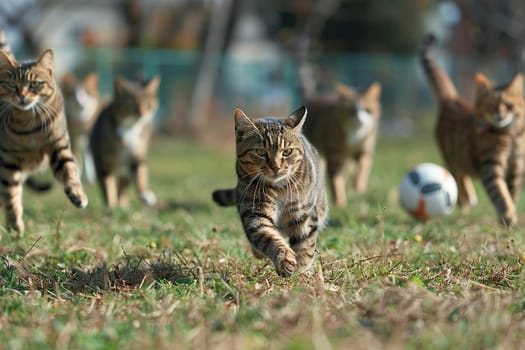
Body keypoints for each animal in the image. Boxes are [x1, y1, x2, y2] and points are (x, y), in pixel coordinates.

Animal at [0, 48, 87, 232]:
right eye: (12, 85)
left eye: (34, 84)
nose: (22, 96)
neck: (28, 124)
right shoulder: (8, 160)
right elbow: (11, 194)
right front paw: (15, 226)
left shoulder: (59, 146)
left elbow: (70, 170)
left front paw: (78, 195)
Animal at [89, 76, 160, 208]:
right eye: (131, 103)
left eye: (147, 103)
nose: (141, 114)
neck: (130, 128)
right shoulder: (102, 162)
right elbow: (107, 186)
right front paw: (110, 206)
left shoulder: (137, 157)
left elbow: (141, 175)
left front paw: (146, 195)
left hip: (126, 171)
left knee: (123, 187)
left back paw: (123, 205)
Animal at [211, 106, 326, 276]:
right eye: (260, 152)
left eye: (287, 152)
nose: (276, 167)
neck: (280, 190)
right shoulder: (255, 213)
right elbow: (268, 236)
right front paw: (284, 259)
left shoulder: (304, 214)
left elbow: (305, 246)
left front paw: (302, 272)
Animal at [420, 34, 524, 227]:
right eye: (491, 107)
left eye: (508, 105)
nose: (500, 114)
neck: (509, 135)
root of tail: (452, 99)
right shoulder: (490, 165)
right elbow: (500, 192)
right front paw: (508, 215)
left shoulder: (516, 166)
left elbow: (511, 192)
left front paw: (509, 214)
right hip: (451, 155)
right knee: (457, 176)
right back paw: (466, 199)